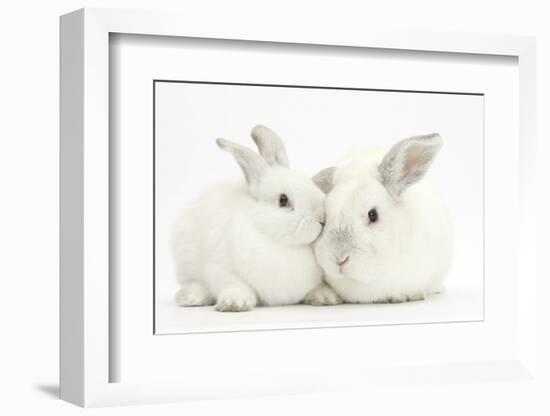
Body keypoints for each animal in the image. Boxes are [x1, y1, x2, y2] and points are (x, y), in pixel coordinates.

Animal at [175, 125, 342, 310]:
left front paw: (326, 297)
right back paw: (191, 297)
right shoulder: (223, 267)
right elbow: (235, 284)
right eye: (283, 200)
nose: (321, 219)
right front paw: (234, 303)